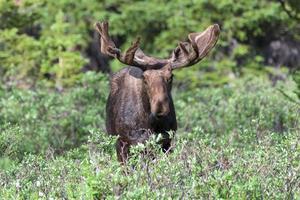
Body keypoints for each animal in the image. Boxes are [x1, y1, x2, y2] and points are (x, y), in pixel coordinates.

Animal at [96, 21, 220, 162]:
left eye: (171, 77)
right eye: (144, 78)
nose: (160, 107)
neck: (151, 123)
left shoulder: (166, 141)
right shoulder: (125, 142)